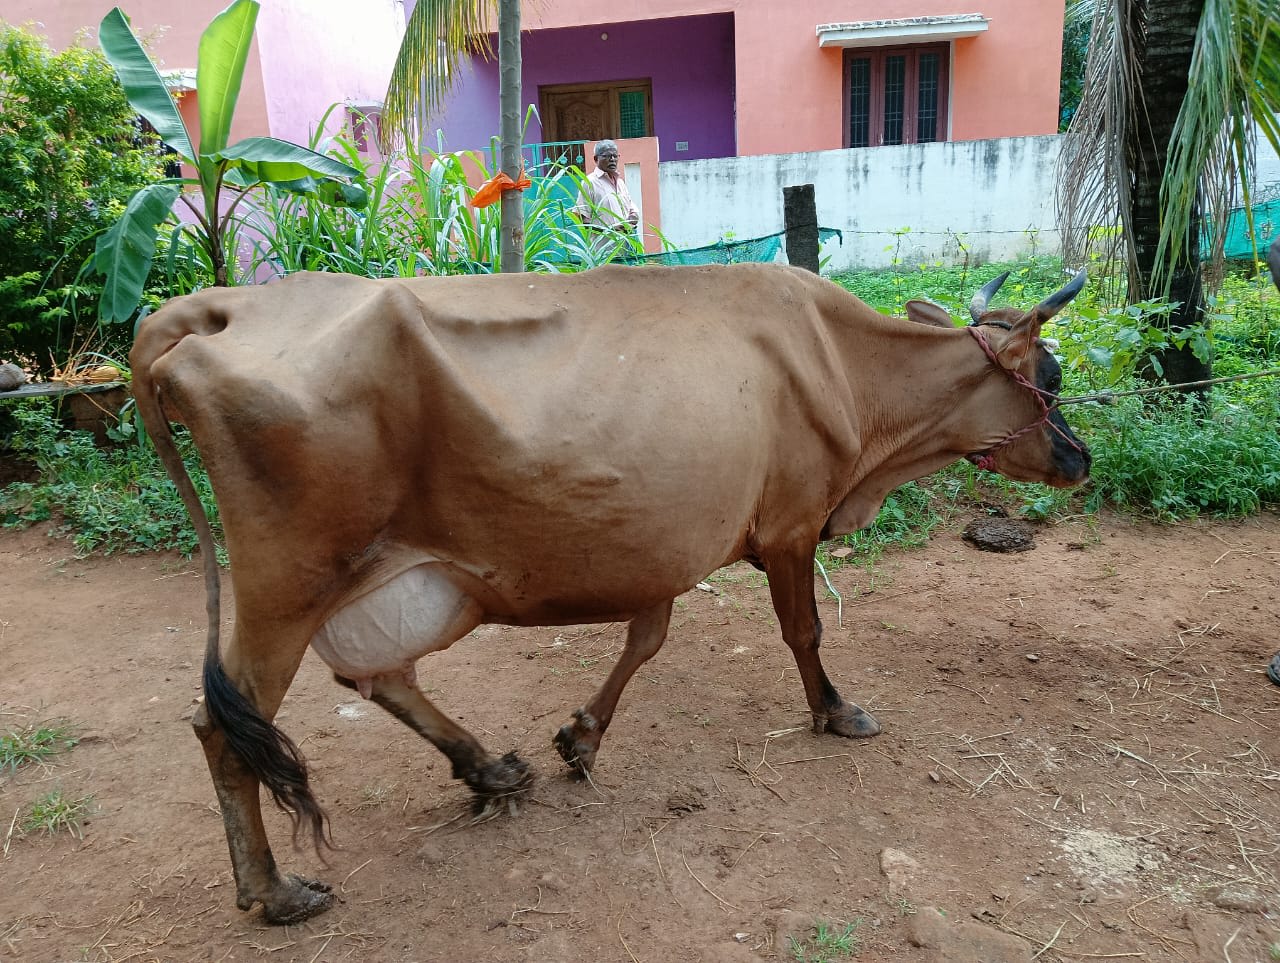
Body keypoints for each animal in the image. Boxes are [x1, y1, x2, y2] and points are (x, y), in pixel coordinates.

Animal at [130, 262, 1090, 924]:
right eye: (1049, 379)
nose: (1080, 459)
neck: (851, 376)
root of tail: (224, 305)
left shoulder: (659, 542)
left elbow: (645, 638)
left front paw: (580, 736)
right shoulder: (790, 522)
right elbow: (804, 630)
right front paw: (835, 710)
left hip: (384, 578)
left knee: (376, 677)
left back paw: (489, 767)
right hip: (286, 582)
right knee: (227, 723)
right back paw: (274, 890)